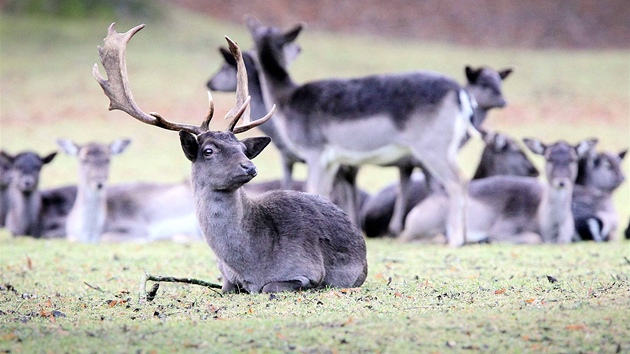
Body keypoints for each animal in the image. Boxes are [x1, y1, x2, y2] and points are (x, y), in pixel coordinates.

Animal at [57, 138, 200, 243]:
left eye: (108, 159)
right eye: (83, 159)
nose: (99, 182)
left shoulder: (138, 226)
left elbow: (105, 237)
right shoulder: (70, 235)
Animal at [94, 22, 370, 294]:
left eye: (242, 148)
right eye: (208, 150)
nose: (249, 167)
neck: (250, 265)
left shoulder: (308, 270)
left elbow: (271, 287)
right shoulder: (226, 279)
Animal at [247, 17, 512, 246]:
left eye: (293, 43)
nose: (300, 48)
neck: (287, 102)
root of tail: (461, 94)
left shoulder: (315, 149)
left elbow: (314, 189)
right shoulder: (332, 160)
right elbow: (325, 193)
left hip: (433, 145)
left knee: (458, 181)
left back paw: (456, 239)